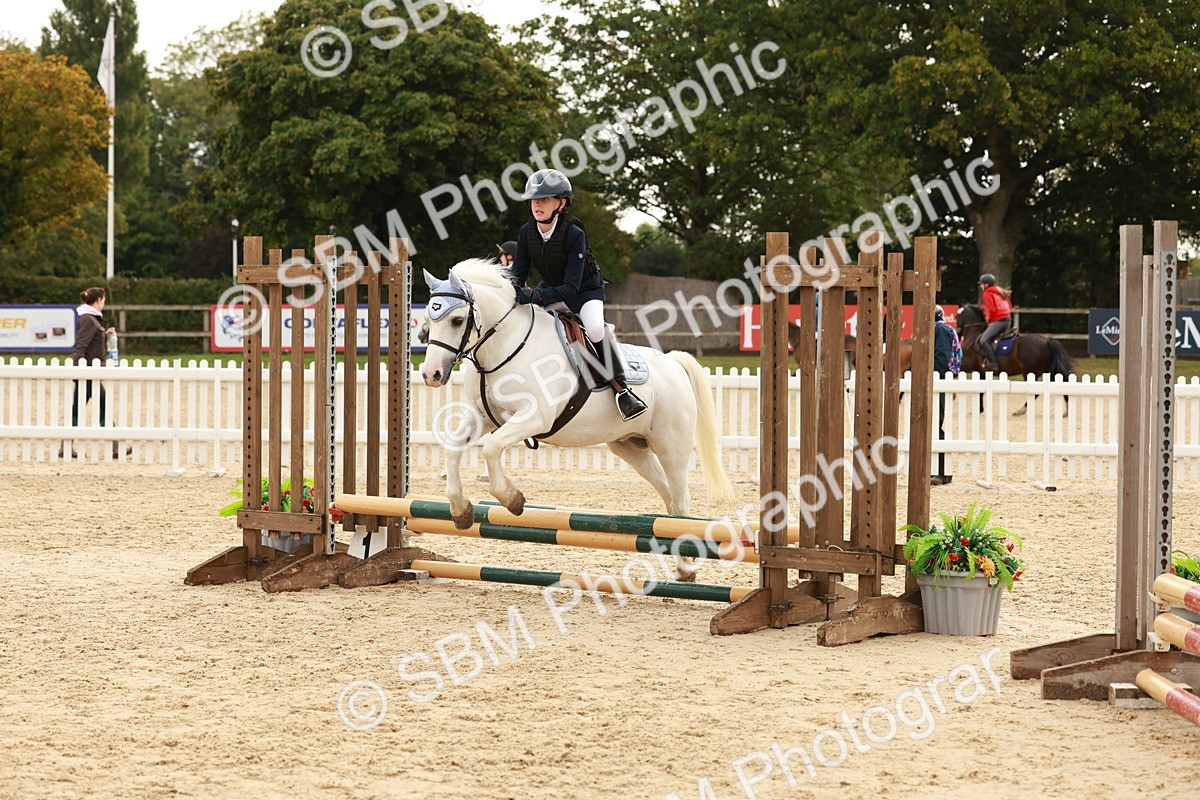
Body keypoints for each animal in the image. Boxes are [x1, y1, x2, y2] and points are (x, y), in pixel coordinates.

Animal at [420, 259, 735, 533]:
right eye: (428, 322)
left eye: (457, 320)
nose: (431, 373)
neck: (505, 346)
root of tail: (673, 362)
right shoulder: (482, 415)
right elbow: (453, 447)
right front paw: (461, 509)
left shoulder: (535, 417)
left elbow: (491, 447)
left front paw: (512, 499)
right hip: (632, 447)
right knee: (669, 496)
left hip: (671, 447)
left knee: (681, 501)